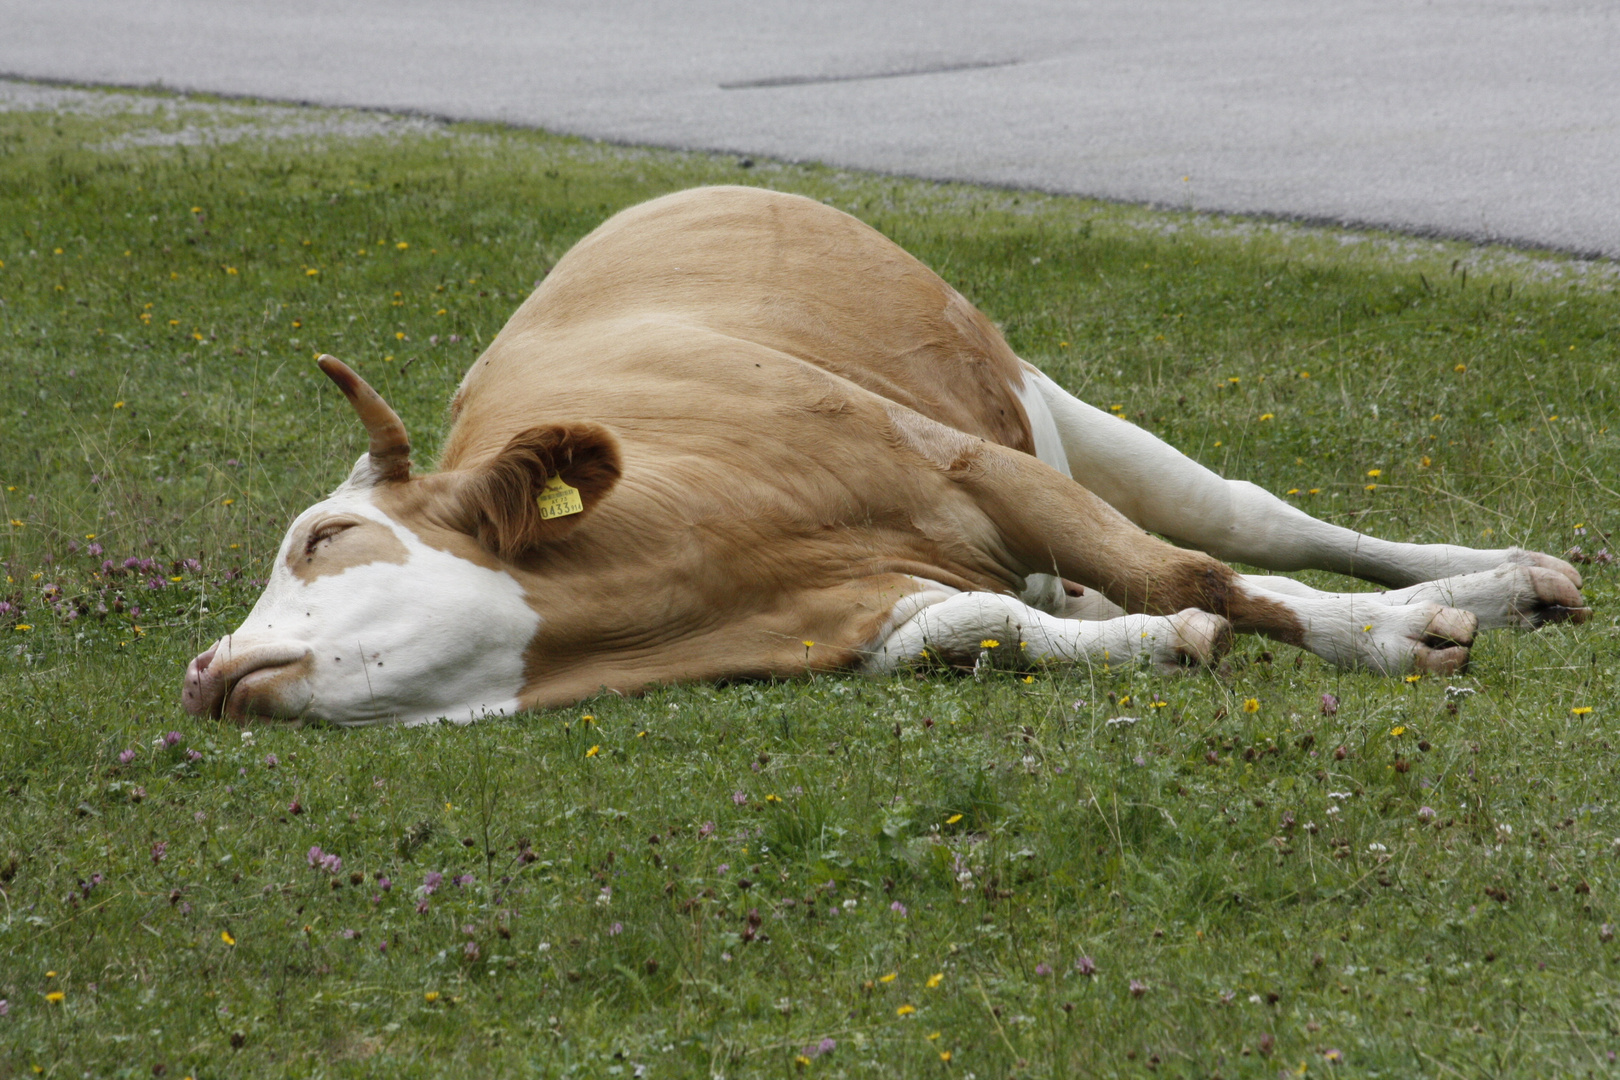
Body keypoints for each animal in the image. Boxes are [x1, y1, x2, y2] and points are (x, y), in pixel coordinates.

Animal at [182, 186, 1589, 726]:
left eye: (320, 537)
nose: (201, 670)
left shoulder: (975, 469)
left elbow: (1200, 575)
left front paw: (1393, 636)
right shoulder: (867, 614)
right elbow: (992, 629)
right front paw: (1161, 646)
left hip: (1052, 407)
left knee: (1255, 526)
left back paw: (1499, 578)